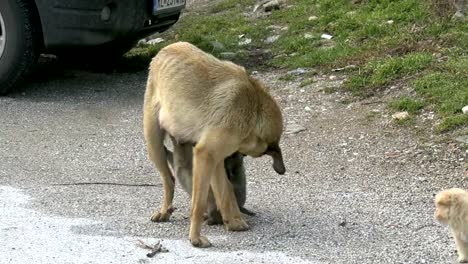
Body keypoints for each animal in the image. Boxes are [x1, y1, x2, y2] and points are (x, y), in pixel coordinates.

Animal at [143, 41, 286, 248]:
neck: (254, 110)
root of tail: (164, 49)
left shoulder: (216, 160)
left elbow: (225, 192)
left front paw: (232, 221)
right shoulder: (205, 155)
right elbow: (199, 202)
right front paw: (195, 237)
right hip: (152, 141)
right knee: (169, 180)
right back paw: (165, 210)